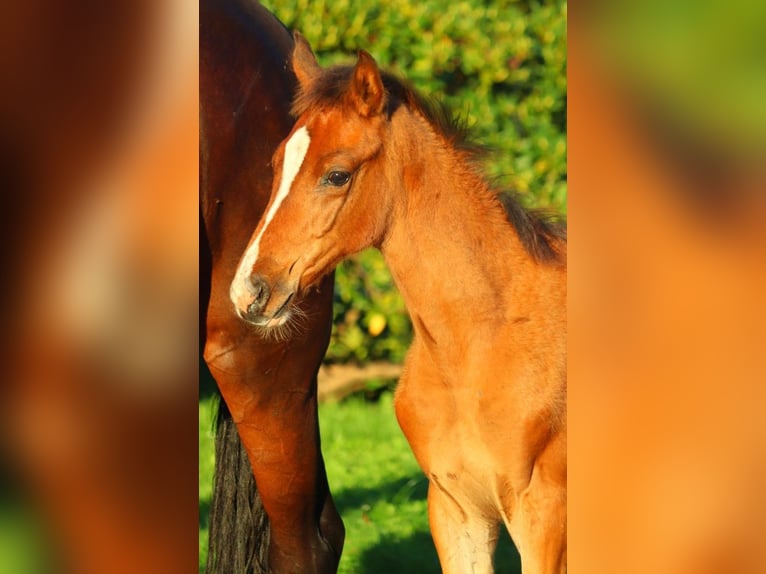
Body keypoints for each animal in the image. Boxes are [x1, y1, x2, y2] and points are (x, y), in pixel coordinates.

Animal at [231, 33, 568, 572]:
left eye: (337, 175)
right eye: (277, 164)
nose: (249, 291)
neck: (480, 345)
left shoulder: (544, 520)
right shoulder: (455, 511)